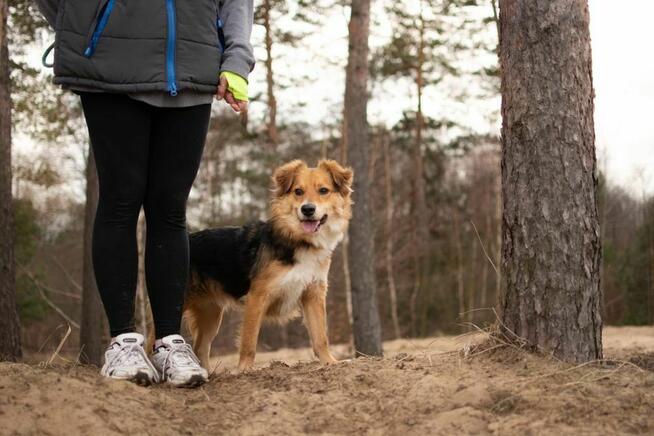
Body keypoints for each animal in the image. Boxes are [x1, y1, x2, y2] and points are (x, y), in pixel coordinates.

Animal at [182, 160, 356, 372]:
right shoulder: (257, 296)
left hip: (211, 314)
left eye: (323, 190)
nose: (307, 209)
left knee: (201, 348)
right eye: (298, 191)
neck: (299, 241)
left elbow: (320, 336)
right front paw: (245, 370)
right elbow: (249, 341)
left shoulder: (313, 293)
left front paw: (330, 362)